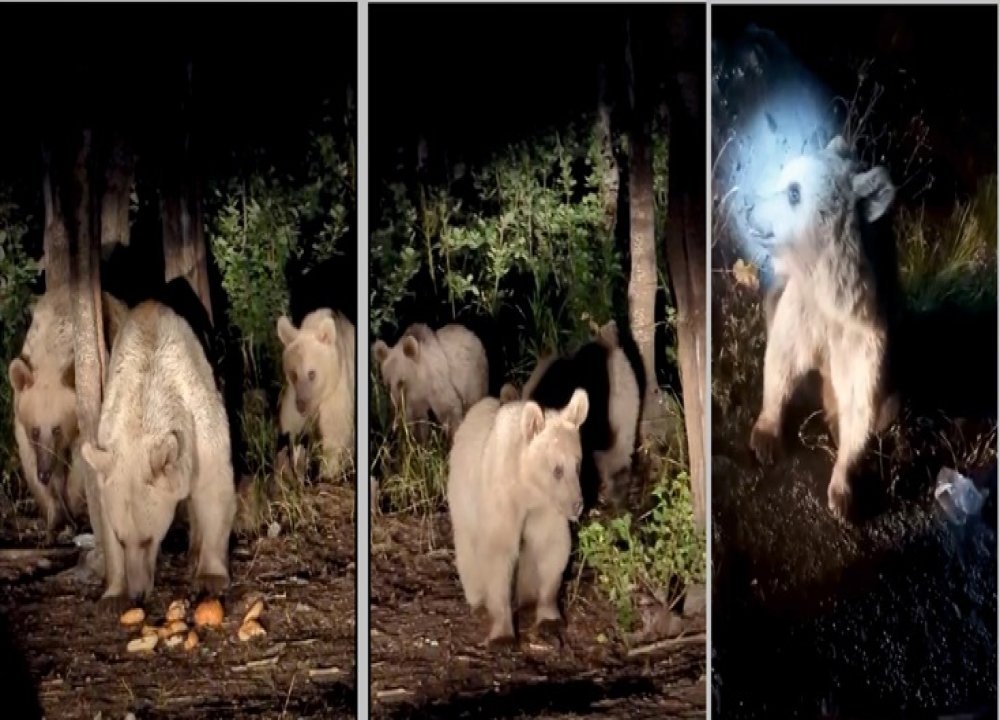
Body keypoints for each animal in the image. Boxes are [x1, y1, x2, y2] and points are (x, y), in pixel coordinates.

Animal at [7, 284, 130, 536]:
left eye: (56, 428)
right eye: (35, 430)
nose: (44, 474)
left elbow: (82, 462)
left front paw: (75, 508)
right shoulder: (22, 423)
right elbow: (29, 458)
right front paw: (54, 515)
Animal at [80, 300, 236, 612]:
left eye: (148, 539)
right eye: (122, 539)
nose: (138, 594)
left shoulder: (199, 418)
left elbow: (213, 487)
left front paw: (211, 576)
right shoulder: (110, 434)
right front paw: (114, 592)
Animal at [278, 308, 356, 480]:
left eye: (311, 373)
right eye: (294, 374)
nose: (301, 406)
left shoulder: (336, 391)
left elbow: (335, 432)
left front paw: (327, 472)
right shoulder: (294, 394)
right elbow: (290, 425)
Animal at [446, 388, 584, 648]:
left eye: (578, 464)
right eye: (557, 469)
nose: (577, 505)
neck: (529, 485)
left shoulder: (546, 507)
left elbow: (551, 547)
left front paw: (549, 618)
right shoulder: (502, 495)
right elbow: (497, 552)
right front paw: (502, 635)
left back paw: (527, 599)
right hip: (463, 494)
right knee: (467, 545)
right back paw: (478, 601)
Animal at [744, 134, 900, 516]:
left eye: (794, 192)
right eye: (783, 173)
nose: (749, 208)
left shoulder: (865, 330)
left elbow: (861, 400)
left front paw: (842, 490)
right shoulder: (802, 306)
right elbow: (781, 360)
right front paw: (766, 434)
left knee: (884, 407)